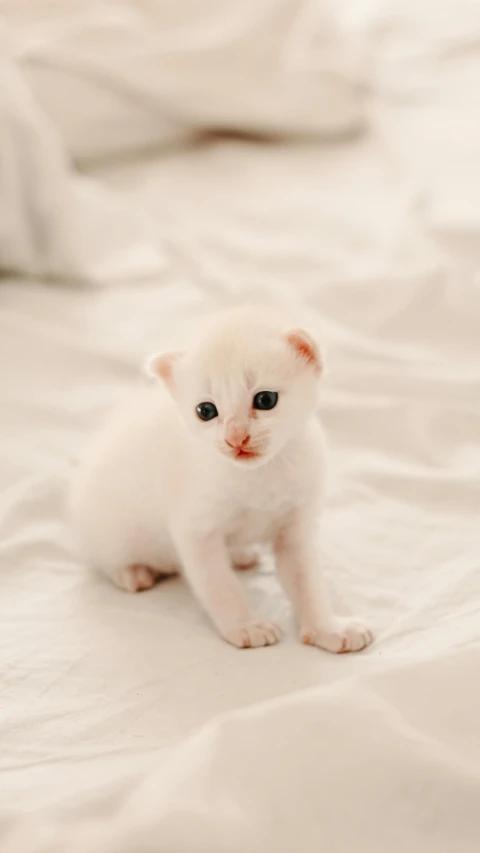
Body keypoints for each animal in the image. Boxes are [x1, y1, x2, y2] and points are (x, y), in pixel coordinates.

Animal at [69, 306, 374, 652]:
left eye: (265, 400)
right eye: (206, 410)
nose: (235, 438)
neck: (259, 475)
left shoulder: (295, 528)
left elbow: (307, 581)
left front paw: (328, 628)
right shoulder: (196, 531)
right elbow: (220, 585)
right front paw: (246, 626)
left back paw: (241, 555)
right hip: (107, 531)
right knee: (103, 558)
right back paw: (132, 573)